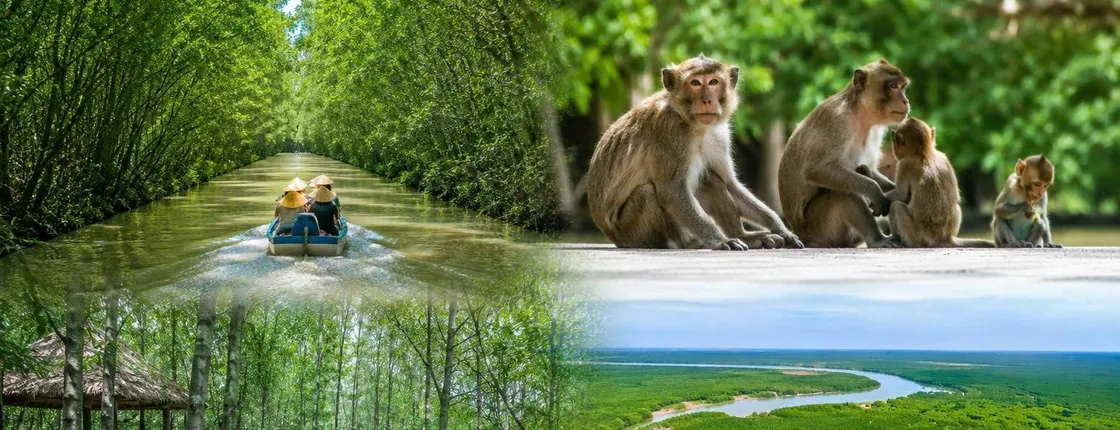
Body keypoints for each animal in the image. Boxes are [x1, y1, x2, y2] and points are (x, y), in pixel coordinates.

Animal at [586, 54, 803, 250]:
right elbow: (672, 191)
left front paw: (780, 227)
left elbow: (729, 184)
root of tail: (612, 236)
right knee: (647, 192)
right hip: (631, 230)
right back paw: (691, 243)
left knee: (711, 179)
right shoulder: (671, 132)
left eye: (713, 82)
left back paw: (743, 236)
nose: (707, 100)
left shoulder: (719, 135)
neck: (694, 125)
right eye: (695, 83)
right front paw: (719, 240)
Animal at [777, 59, 910, 248]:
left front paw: (895, 189)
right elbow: (816, 169)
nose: (906, 101)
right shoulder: (837, 121)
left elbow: (868, 169)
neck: (861, 114)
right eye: (893, 86)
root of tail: (799, 232)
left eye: (903, 87)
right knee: (843, 192)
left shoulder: (876, 130)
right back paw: (877, 239)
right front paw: (874, 190)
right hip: (819, 226)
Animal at [856, 118, 994, 248]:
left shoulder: (905, 164)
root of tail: (943, 238)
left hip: (917, 235)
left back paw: (899, 240)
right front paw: (867, 172)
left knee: (897, 206)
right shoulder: (944, 158)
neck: (924, 152)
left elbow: (902, 195)